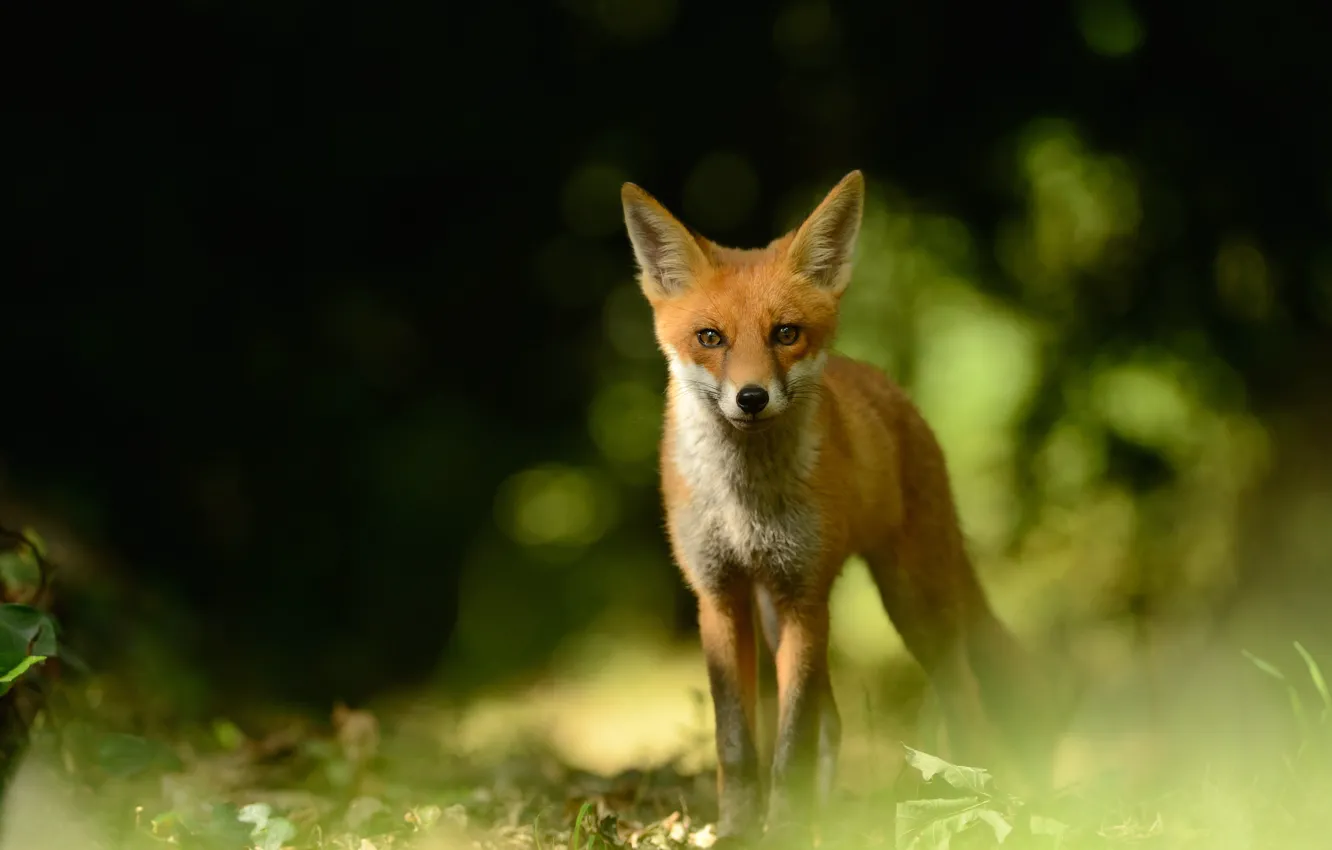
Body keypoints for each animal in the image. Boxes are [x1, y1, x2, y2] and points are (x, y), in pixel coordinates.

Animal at [619, 170, 1060, 844]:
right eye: (710, 338)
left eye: (785, 333)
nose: (751, 398)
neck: (747, 503)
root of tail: (890, 391)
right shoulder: (720, 597)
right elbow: (738, 743)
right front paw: (740, 830)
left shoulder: (805, 597)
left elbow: (791, 744)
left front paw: (782, 831)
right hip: (780, 615)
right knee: (835, 723)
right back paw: (831, 821)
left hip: (912, 602)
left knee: (963, 698)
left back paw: (970, 807)